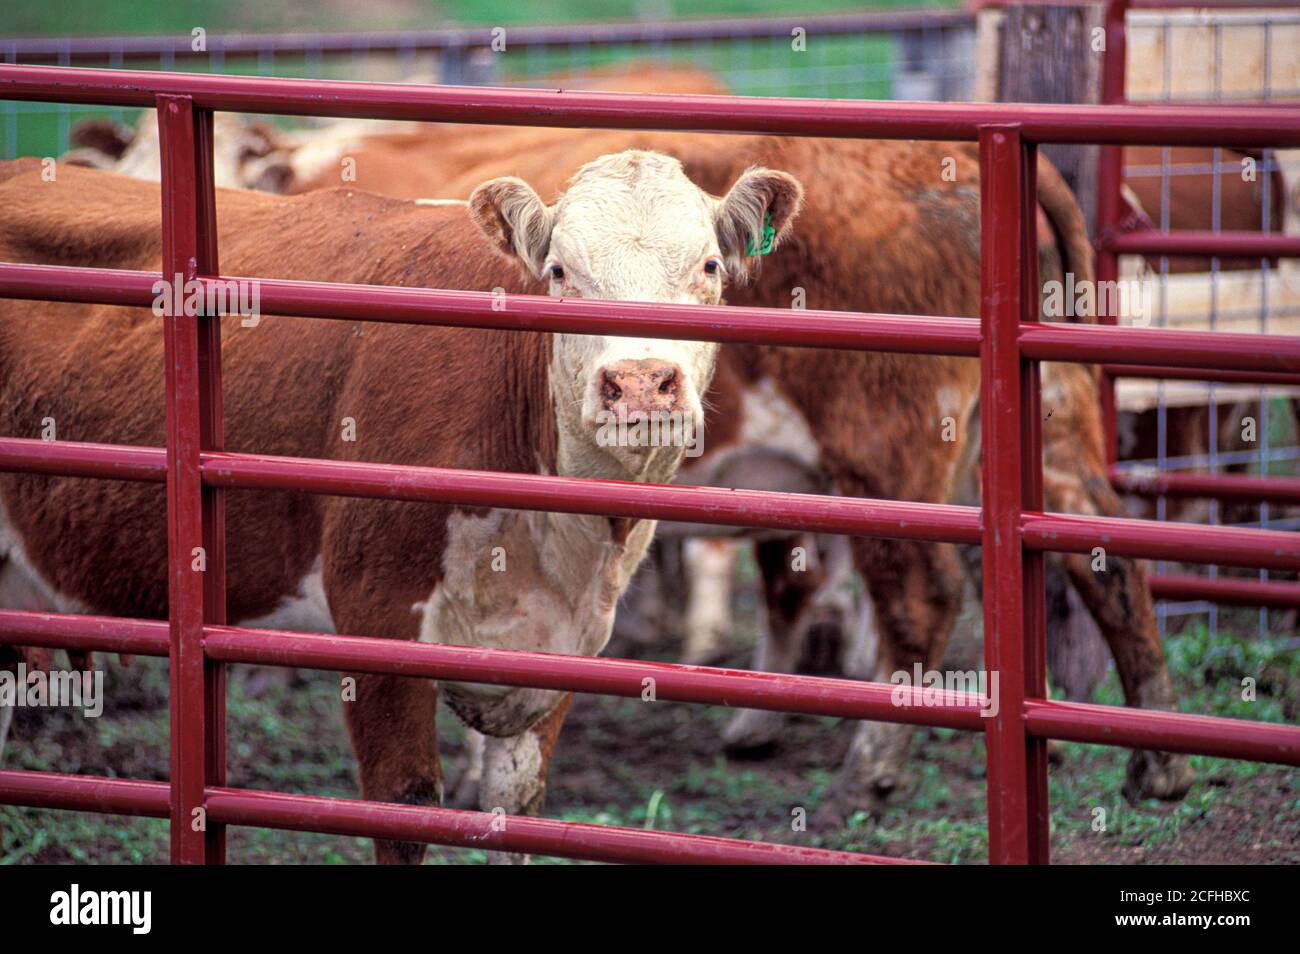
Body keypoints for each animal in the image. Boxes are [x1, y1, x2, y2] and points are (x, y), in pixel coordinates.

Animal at [0, 148, 803, 863]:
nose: (639, 384)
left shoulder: (563, 651)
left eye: (708, 267)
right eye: (559, 272)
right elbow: (404, 810)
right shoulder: (376, 618)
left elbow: (517, 811)